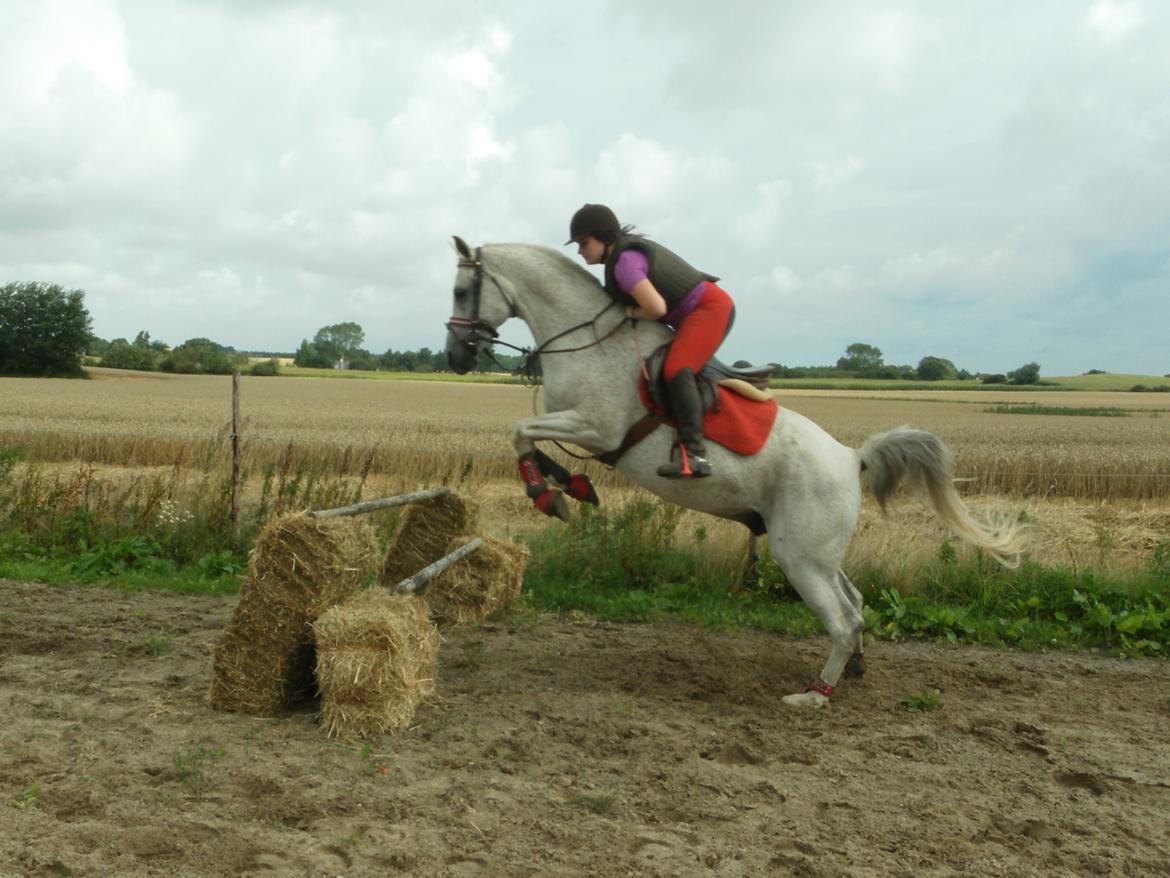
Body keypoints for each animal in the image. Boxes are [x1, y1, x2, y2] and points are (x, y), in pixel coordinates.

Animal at [442, 238, 1029, 707]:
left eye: (459, 290)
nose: (453, 357)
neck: (588, 339)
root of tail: (851, 457)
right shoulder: (580, 426)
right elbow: (525, 434)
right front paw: (571, 487)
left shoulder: (596, 428)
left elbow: (521, 430)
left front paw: (553, 494)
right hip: (818, 551)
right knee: (857, 605)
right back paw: (856, 668)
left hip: (799, 555)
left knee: (843, 619)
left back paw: (815, 695)